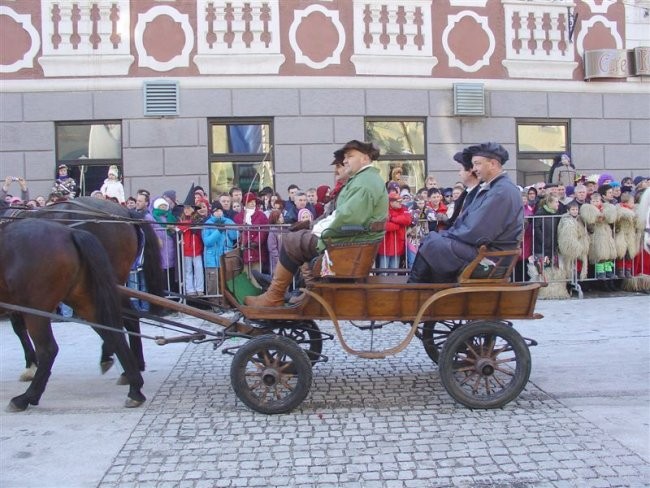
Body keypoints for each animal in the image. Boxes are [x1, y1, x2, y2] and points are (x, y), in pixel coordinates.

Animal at [0, 219, 146, 410]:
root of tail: (69, 233)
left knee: (48, 350)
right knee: (114, 334)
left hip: (36, 308)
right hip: (84, 300)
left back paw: (26, 397)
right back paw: (134, 386)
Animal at [6, 196, 165, 380]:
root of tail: (125, 213)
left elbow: (18, 327)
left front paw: (31, 365)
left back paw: (111, 356)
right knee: (126, 318)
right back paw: (132, 363)